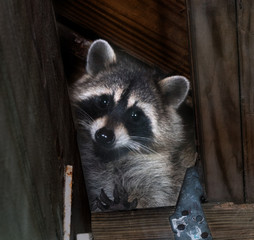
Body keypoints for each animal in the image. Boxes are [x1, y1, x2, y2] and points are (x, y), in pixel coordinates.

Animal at [68, 39, 195, 210]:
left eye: (135, 115)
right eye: (104, 101)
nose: (104, 135)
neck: (108, 153)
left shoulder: (159, 171)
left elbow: (157, 196)